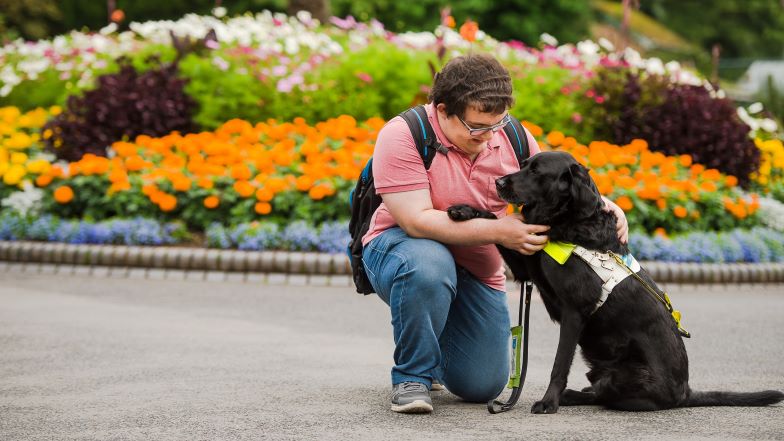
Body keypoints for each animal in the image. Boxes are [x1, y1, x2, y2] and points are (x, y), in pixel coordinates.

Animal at [448, 151, 784, 412]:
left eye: (536, 172)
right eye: (524, 163)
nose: (498, 182)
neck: (573, 224)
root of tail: (686, 393)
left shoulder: (574, 311)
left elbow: (559, 363)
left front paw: (548, 402)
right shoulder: (529, 264)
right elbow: (496, 223)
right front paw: (464, 209)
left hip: (621, 377)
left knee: (605, 397)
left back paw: (568, 396)